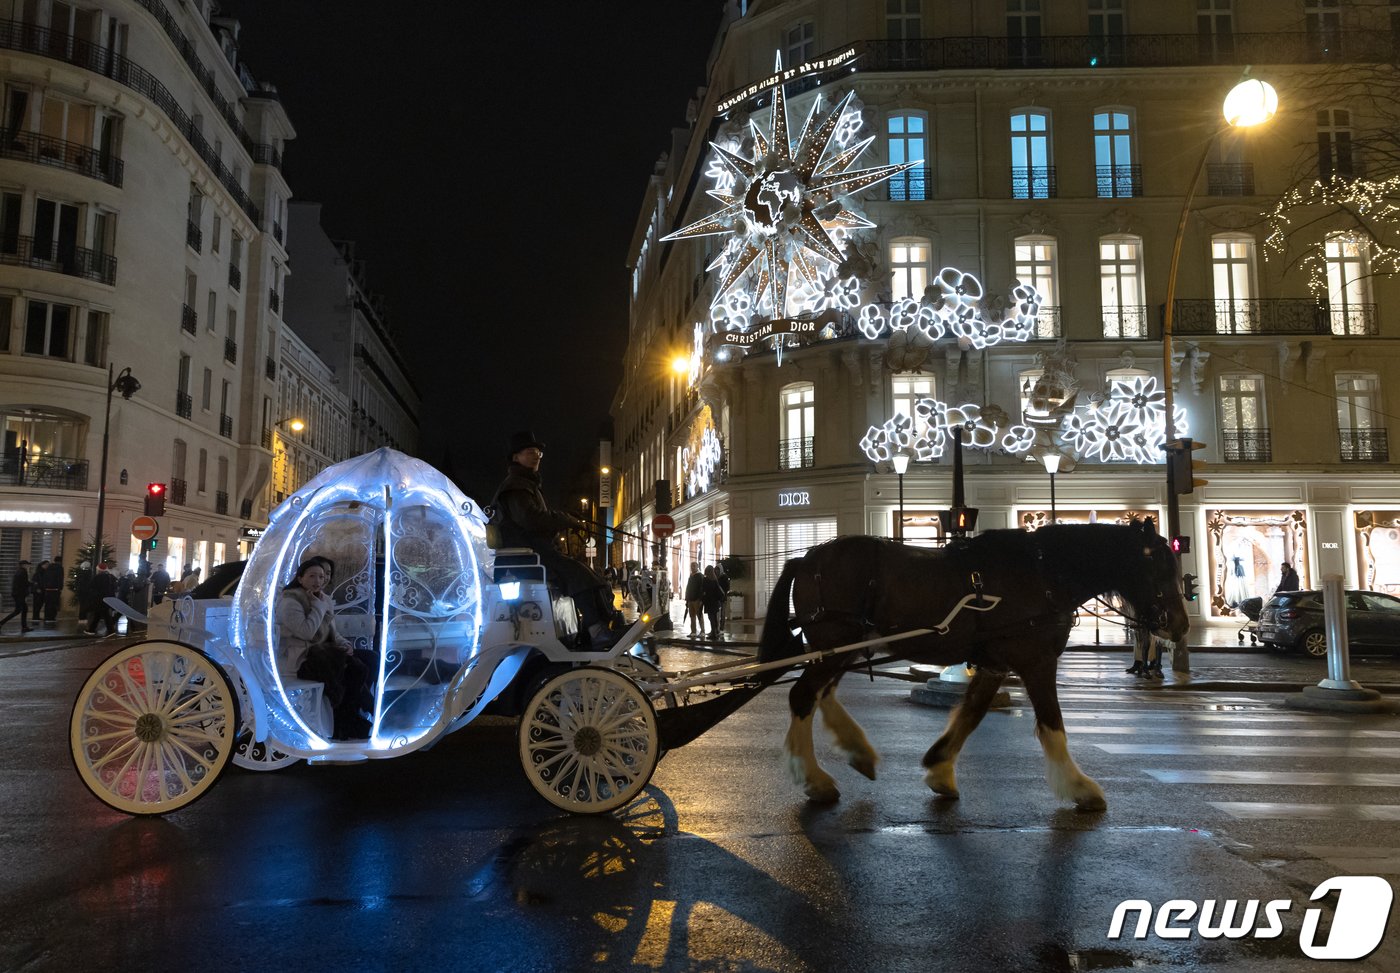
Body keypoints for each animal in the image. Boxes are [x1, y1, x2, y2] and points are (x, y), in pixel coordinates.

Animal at [761, 520, 1187, 812]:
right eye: (1158, 568)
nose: (1181, 626)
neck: (1044, 575)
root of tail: (806, 557)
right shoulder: (1036, 661)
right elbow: (1053, 725)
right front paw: (1079, 786)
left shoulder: (994, 665)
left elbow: (970, 715)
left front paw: (939, 769)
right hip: (835, 645)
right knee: (803, 694)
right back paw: (814, 778)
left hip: (842, 646)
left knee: (823, 692)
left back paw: (857, 750)